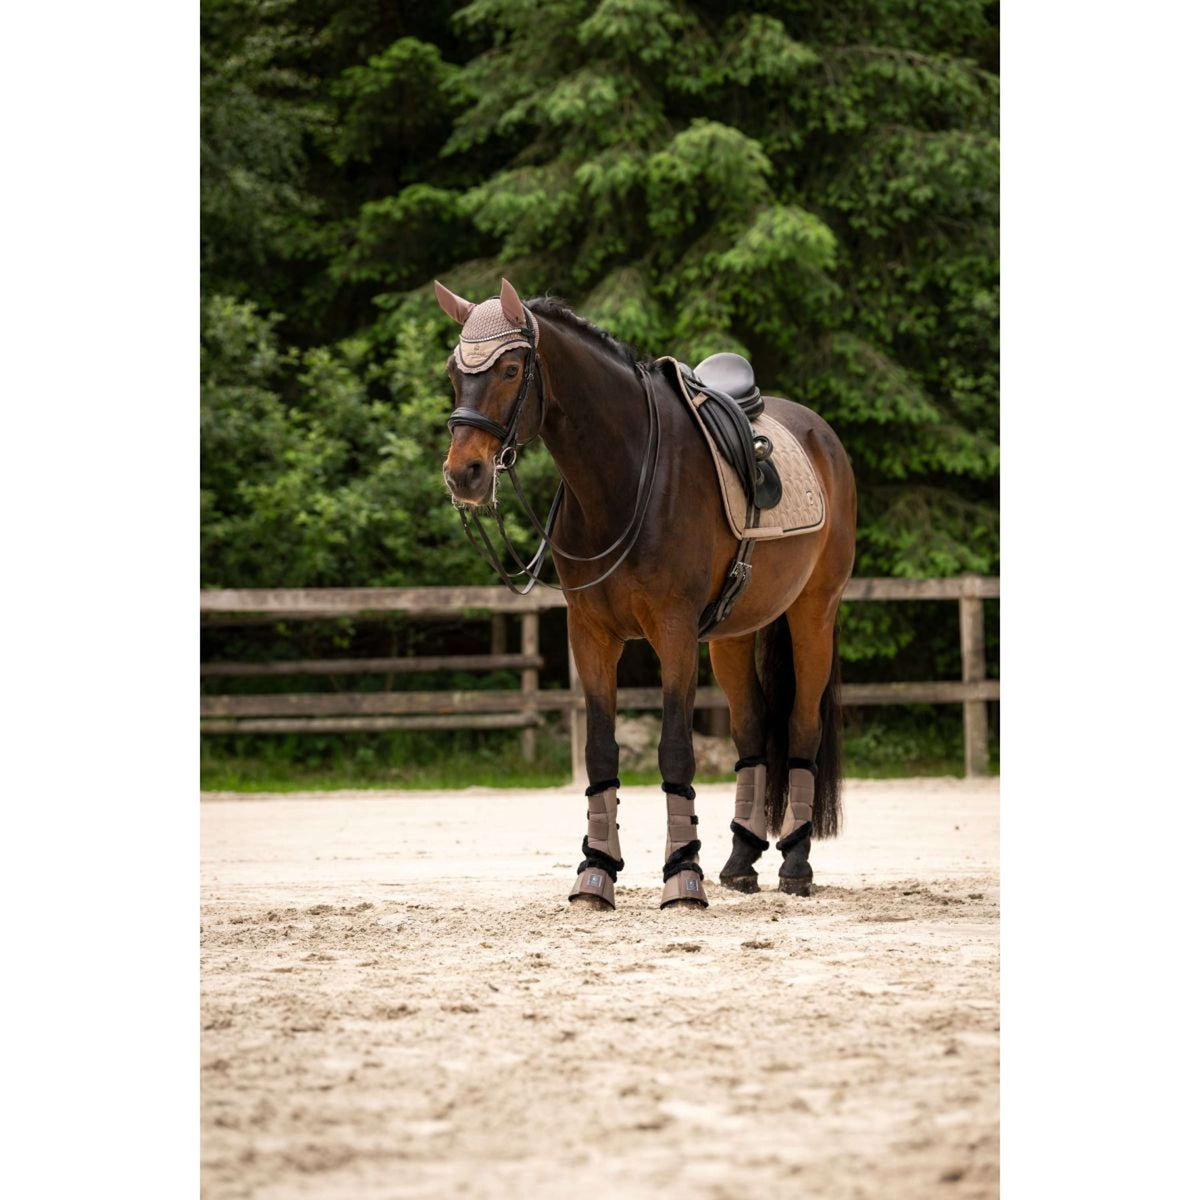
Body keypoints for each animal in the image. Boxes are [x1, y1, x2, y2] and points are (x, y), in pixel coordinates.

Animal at [436, 278, 856, 910]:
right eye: (453, 372)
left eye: (510, 369)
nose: (464, 474)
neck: (625, 474)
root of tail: (818, 432)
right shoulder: (590, 633)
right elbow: (601, 751)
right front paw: (596, 872)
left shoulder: (674, 631)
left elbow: (675, 749)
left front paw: (683, 875)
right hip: (733, 635)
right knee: (753, 729)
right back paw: (741, 861)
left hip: (813, 614)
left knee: (802, 725)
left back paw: (795, 864)